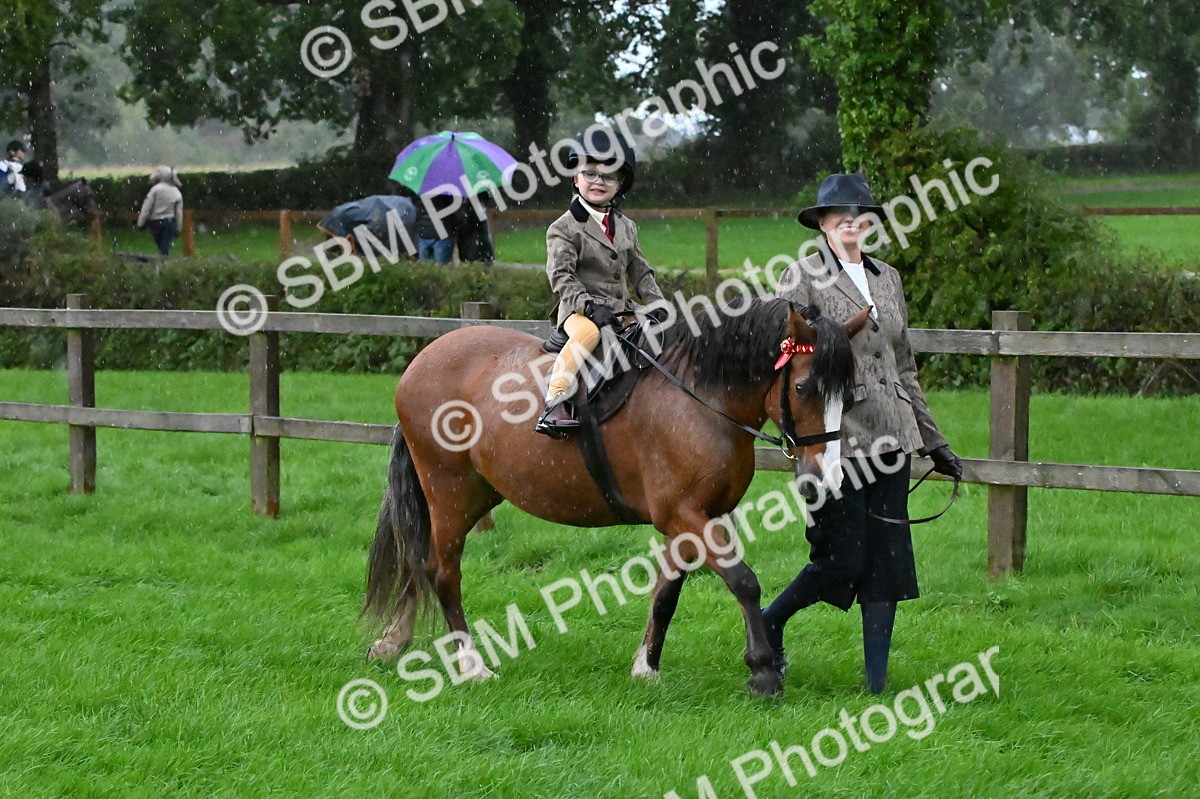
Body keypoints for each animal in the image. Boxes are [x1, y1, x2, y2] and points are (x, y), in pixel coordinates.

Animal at [363, 297, 869, 695]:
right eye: (802, 387)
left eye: (848, 394)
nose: (825, 477)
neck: (701, 396)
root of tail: (422, 360)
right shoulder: (684, 514)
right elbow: (744, 581)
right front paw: (763, 671)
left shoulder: (697, 518)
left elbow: (667, 592)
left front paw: (647, 666)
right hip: (448, 489)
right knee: (441, 571)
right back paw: (472, 667)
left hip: (476, 495)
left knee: (417, 557)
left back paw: (394, 640)